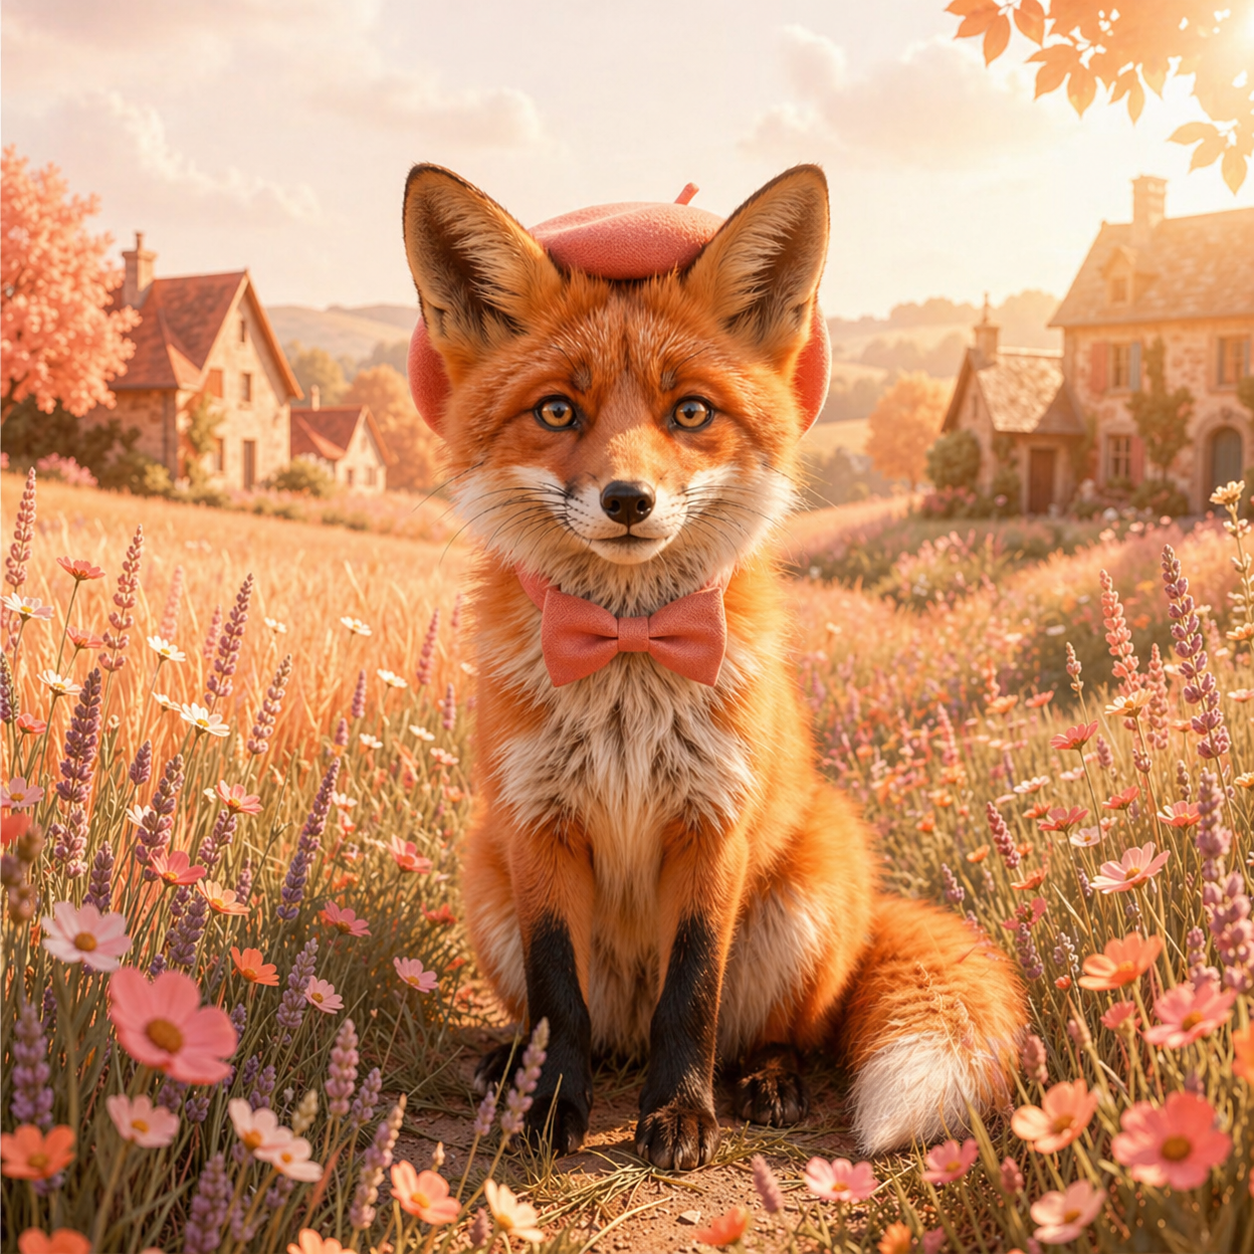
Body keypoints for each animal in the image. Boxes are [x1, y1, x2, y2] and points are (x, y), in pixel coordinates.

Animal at [400, 162, 1027, 1170]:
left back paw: (765, 1082)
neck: (628, 652)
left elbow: (692, 996)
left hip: (804, 901)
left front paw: (683, 1115)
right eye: (557, 411)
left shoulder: (713, 822)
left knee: (775, 1031)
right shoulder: (537, 827)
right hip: (486, 878)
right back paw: (512, 1067)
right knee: (578, 1022)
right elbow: (558, 999)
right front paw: (550, 1110)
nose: (628, 500)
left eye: (689, 411)